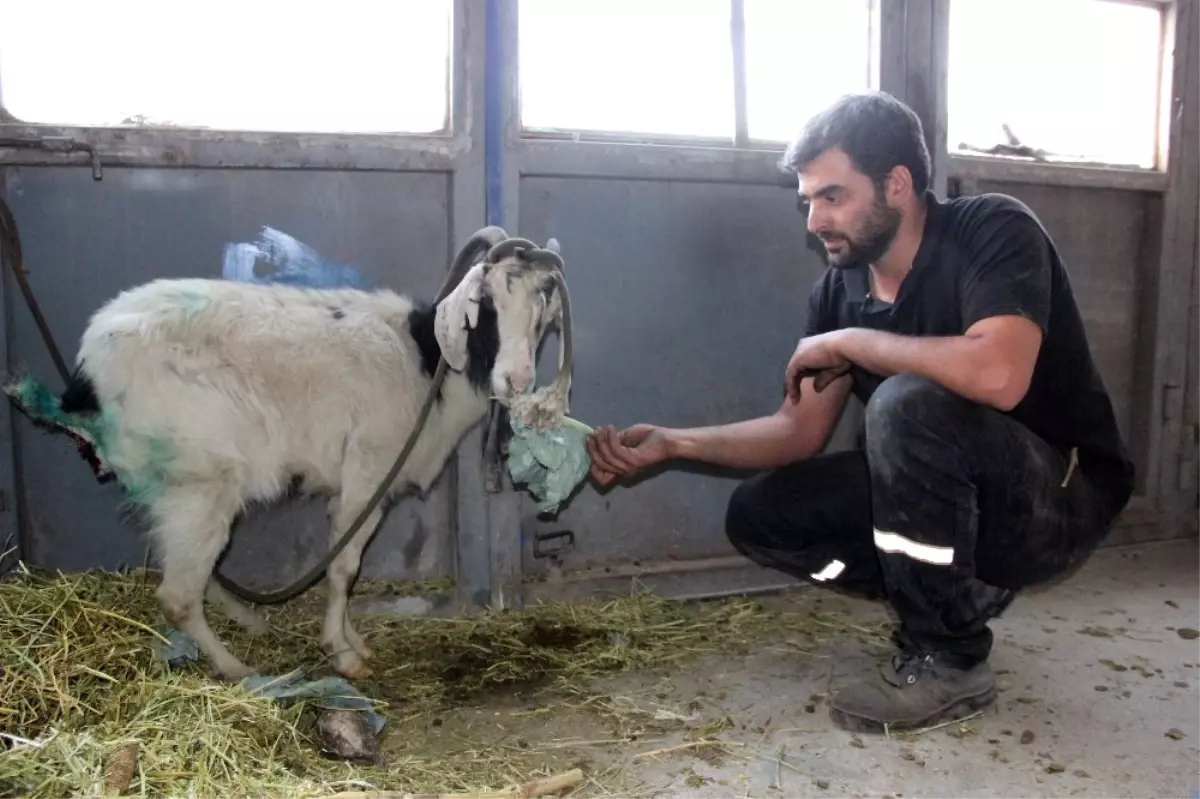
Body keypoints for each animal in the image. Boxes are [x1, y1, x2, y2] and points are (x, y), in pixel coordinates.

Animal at [15, 225, 571, 676]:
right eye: (488, 299)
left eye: (543, 304)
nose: (517, 381)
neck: (425, 357)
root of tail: (84, 379)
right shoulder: (368, 472)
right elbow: (344, 567)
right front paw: (343, 656)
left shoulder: (353, 490)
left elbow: (344, 562)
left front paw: (352, 640)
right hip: (201, 481)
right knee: (177, 595)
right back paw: (236, 669)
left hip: (171, 487)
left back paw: (248, 623)